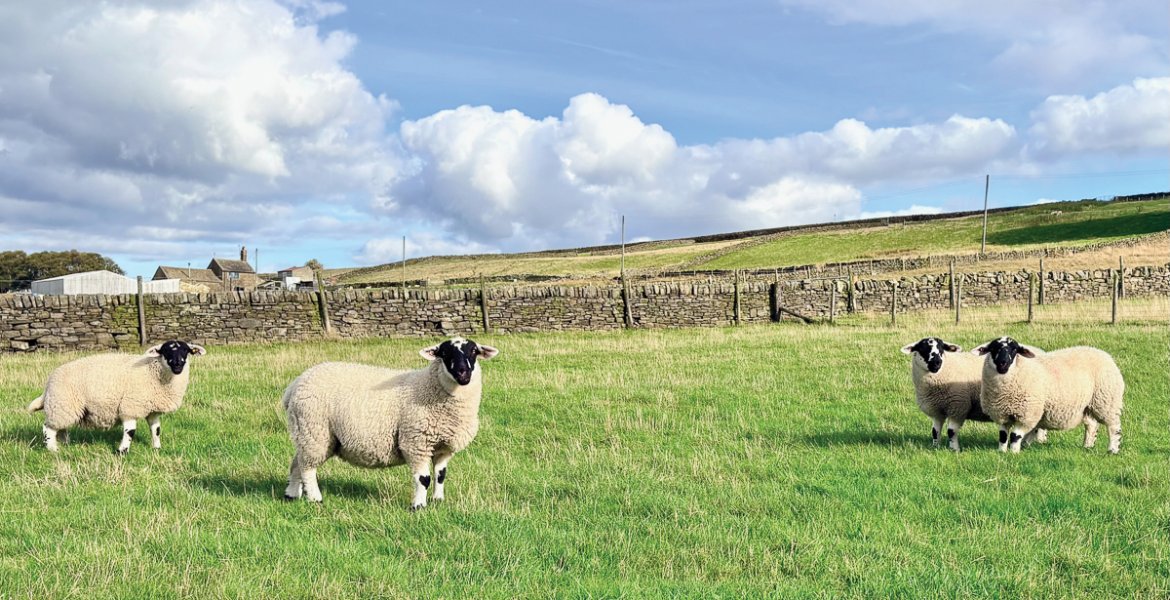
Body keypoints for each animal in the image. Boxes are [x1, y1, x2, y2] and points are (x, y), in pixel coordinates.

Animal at [27, 341, 206, 454]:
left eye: (186, 351)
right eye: (166, 350)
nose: (178, 365)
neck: (154, 373)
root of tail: (49, 382)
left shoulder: (152, 410)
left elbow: (156, 429)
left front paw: (156, 448)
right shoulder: (130, 406)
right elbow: (130, 432)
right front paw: (122, 451)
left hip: (66, 407)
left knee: (61, 428)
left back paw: (65, 444)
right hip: (61, 404)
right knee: (48, 428)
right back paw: (53, 450)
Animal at [281, 336, 499, 510]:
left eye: (474, 351)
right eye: (444, 353)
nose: (463, 373)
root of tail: (295, 384)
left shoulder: (443, 447)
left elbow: (440, 475)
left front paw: (438, 500)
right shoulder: (416, 442)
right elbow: (424, 479)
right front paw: (418, 506)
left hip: (308, 433)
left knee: (297, 462)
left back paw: (292, 494)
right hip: (314, 430)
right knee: (308, 468)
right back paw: (315, 498)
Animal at [902, 337, 1048, 451]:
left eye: (942, 348)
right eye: (923, 348)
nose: (936, 362)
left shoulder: (958, 407)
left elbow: (951, 431)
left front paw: (954, 450)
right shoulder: (937, 411)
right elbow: (935, 431)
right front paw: (935, 448)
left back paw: (1038, 441)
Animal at [972, 337, 1124, 454]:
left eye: (1014, 349)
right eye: (994, 349)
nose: (1003, 363)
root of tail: (1105, 355)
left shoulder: (1027, 414)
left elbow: (1015, 435)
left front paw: (1014, 452)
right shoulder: (1003, 414)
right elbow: (1003, 435)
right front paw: (1002, 452)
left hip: (1106, 401)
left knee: (1114, 426)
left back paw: (1113, 449)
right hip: (1087, 406)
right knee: (1092, 425)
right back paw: (1087, 446)